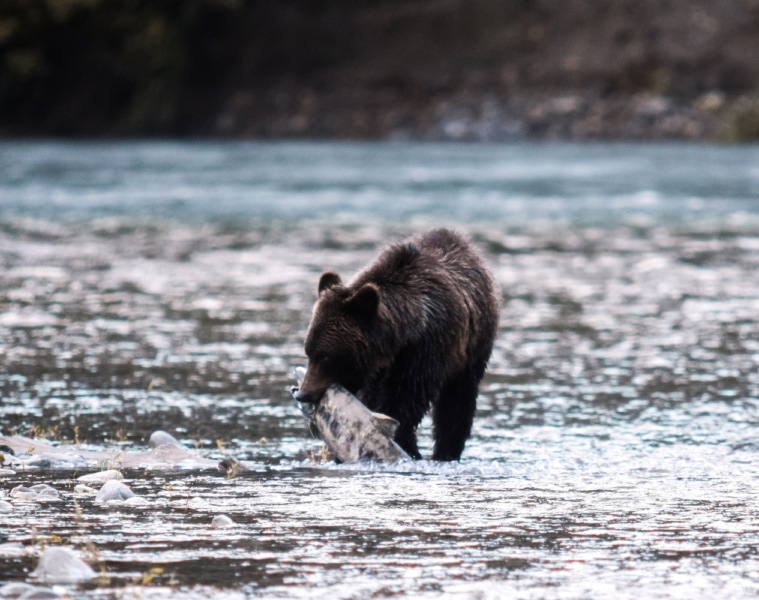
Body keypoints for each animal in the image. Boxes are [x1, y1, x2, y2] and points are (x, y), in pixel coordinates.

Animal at [294, 228, 499, 461]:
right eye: (308, 352)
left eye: (325, 356)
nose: (302, 394)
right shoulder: (371, 368)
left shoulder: (426, 348)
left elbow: (405, 399)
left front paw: (406, 445)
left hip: (471, 350)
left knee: (457, 403)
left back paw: (446, 451)